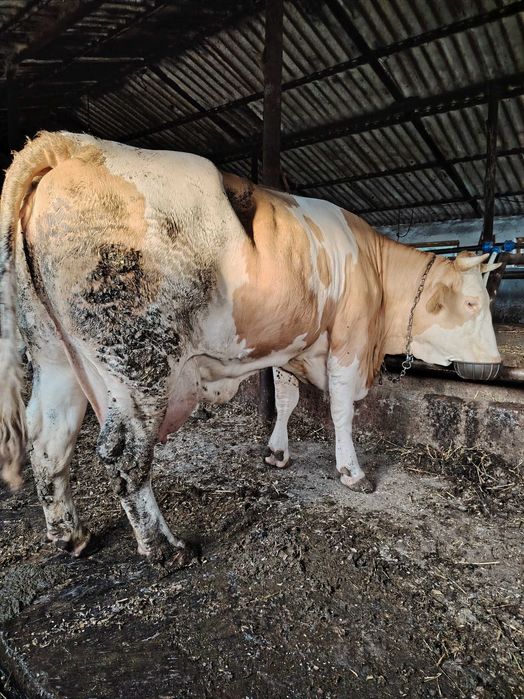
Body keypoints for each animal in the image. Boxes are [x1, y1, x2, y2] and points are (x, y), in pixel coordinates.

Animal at [0, 132, 501, 564]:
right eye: (473, 302)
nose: (496, 364)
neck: (373, 269)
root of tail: (73, 148)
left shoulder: (290, 343)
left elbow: (287, 398)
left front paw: (277, 453)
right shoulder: (349, 341)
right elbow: (341, 409)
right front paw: (352, 472)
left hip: (54, 354)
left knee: (49, 438)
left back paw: (72, 536)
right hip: (139, 366)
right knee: (124, 458)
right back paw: (165, 549)